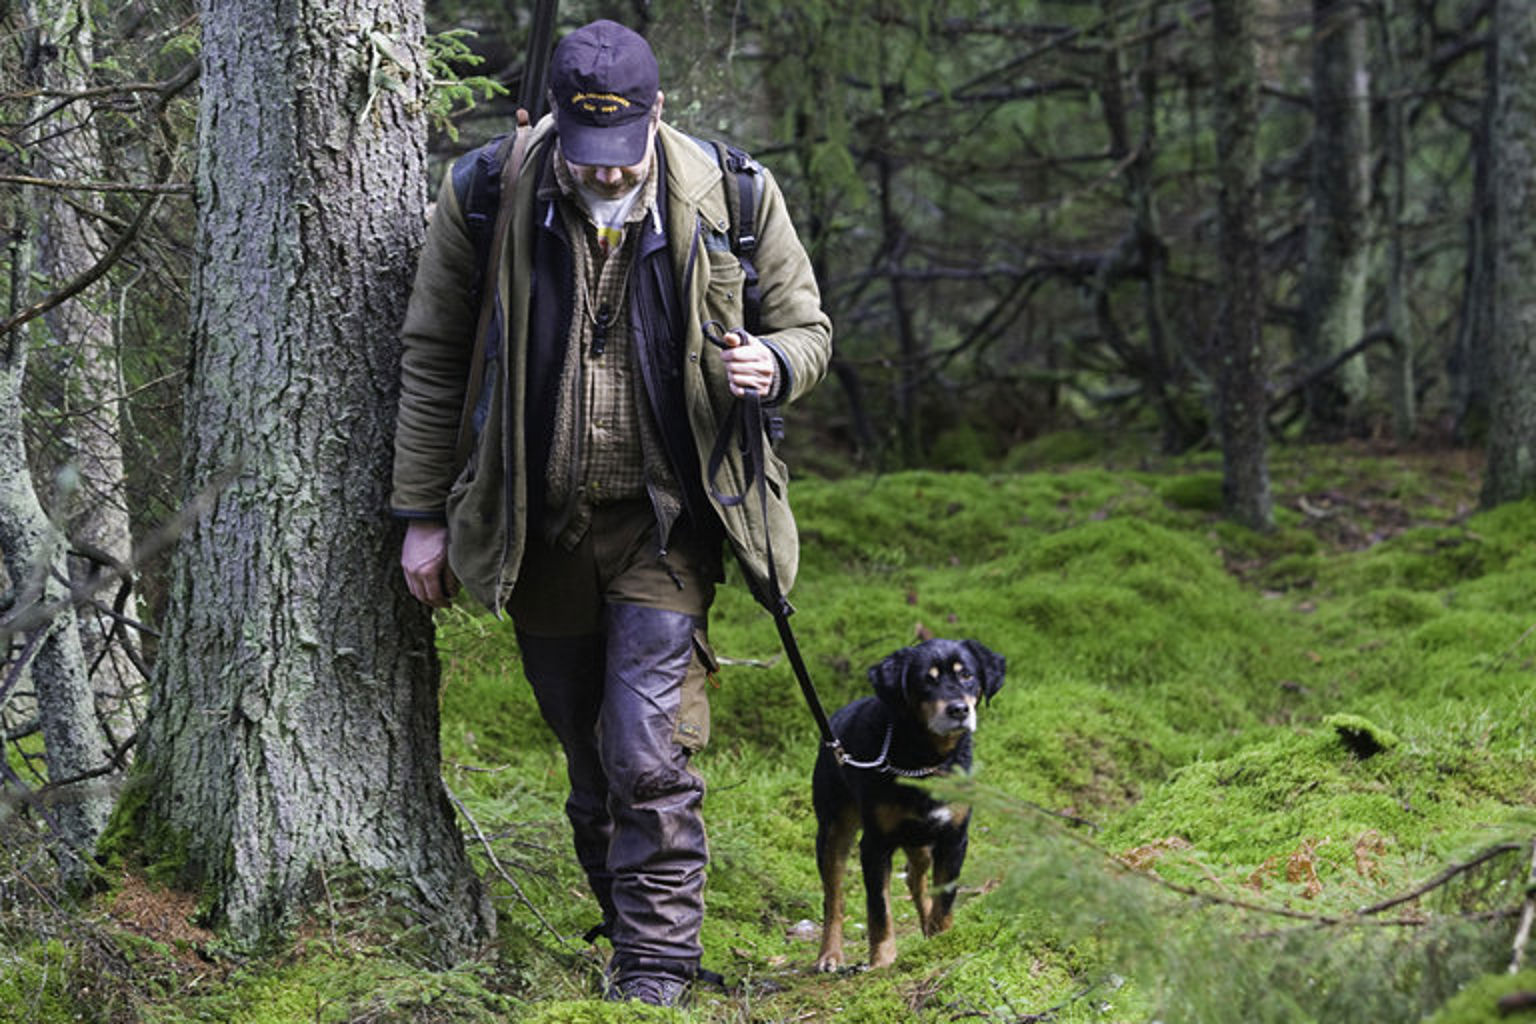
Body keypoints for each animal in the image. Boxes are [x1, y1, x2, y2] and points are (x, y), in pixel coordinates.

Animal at [804, 635, 1007, 976]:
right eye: (927, 680)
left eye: (967, 675)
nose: (958, 710)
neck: (925, 759)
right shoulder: (875, 844)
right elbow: (879, 909)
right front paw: (883, 960)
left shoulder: (954, 837)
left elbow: (944, 897)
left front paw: (941, 939)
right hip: (833, 830)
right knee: (834, 899)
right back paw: (829, 954)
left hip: (920, 839)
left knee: (916, 878)